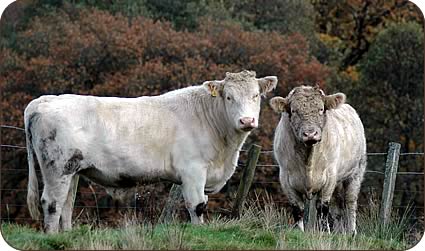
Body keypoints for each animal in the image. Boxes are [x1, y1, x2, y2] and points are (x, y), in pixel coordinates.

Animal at [24, 69, 276, 232]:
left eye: (256, 95)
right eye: (229, 97)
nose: (246, 120)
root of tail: (45, 100)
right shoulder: (193, 171)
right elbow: (197, 206)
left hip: (72, 170)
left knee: (66, 204)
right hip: (57, 168)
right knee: (51, 203)